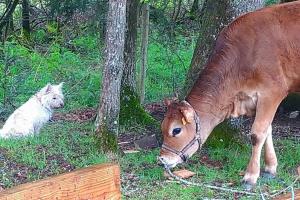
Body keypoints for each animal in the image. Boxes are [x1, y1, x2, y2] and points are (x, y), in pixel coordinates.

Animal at [158, 1, 300, 189]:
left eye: (176, 130)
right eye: (162, 127)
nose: (162, 159)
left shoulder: (272, 92)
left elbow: (257, 134)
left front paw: (250, 176)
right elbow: (267, 130)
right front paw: (270, 167)